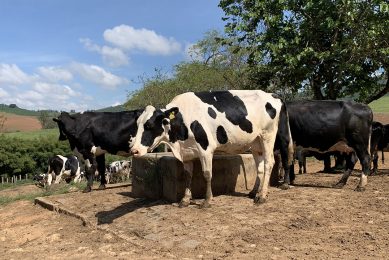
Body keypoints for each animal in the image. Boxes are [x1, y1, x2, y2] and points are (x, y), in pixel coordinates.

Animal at [130, 90, 292, 208]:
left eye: (149, 125)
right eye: (137, 125)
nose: (134, 150)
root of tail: (273, 95)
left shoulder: (205, 149)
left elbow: (207, 174)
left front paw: (207, 200)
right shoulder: (187, 153)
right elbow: (187, 176)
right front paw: (185, 199)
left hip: (268, 135)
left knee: (269, 163)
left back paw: (262, 196)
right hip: (255, 142)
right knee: (259, 167)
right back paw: (254, 192)